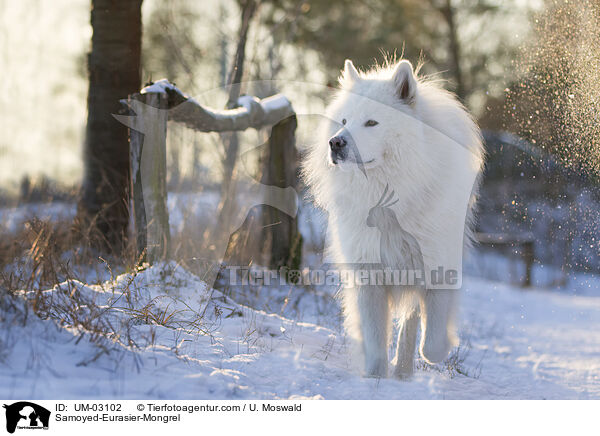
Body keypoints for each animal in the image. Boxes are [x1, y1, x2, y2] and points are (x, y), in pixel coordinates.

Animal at [302, 58, 486, 378]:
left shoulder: (437, 269)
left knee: (412, 323)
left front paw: (441, 349)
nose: (335, 143)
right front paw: (375, 376)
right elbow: (376, 338)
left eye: (371, 123)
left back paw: (404, 369)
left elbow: (431, 344)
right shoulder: (369, 275)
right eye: (344, 121)